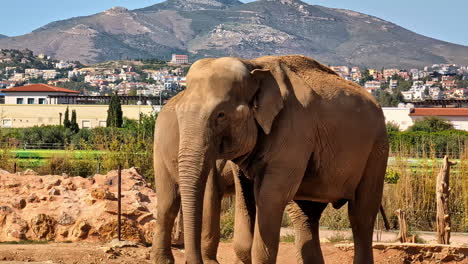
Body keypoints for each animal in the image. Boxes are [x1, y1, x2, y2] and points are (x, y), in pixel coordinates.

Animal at [170, 54, 390, 262]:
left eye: (221, 115)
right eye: (178, 113)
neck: (253, 65)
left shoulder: (294, 132)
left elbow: (271, 196)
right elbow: (244, 198)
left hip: (377, 150)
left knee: (361, 215)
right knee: (306, 217)